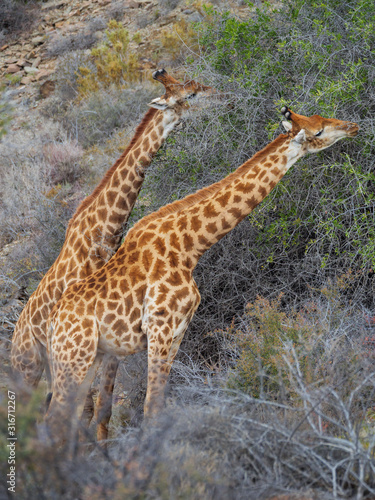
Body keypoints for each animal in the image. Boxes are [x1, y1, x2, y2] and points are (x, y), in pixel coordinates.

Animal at [11, 69, 217, 442]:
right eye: (190, 95)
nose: (223, 96)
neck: (104, 232)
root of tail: (14, 334)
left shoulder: (112, 331)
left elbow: (101, 405)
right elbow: (87, 407)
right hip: (29, 366)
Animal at [45, 106, 360, 438]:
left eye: (320, 118)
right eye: (318, 132)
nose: (353, 126)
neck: (189, 247)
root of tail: (52, 323)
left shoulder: (179, 329)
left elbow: (158, 404)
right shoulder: (160, 326)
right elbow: (151, 407)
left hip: (88, 357)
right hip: (73, 357)